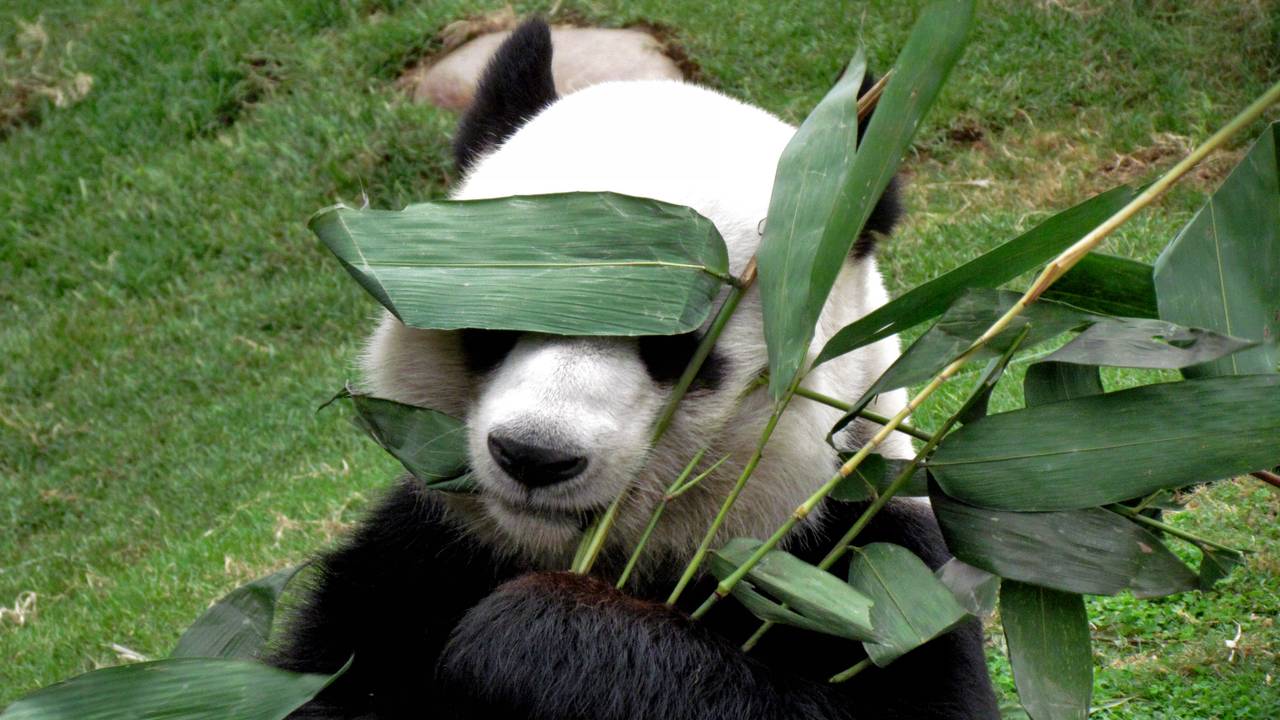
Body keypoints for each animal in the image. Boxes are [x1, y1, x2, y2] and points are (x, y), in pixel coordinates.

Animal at [270, 19, 999, 719]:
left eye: (679, 343)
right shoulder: (417, 555)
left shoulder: (865, 563)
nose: (535, 456)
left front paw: (532, 635)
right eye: (498, 302)